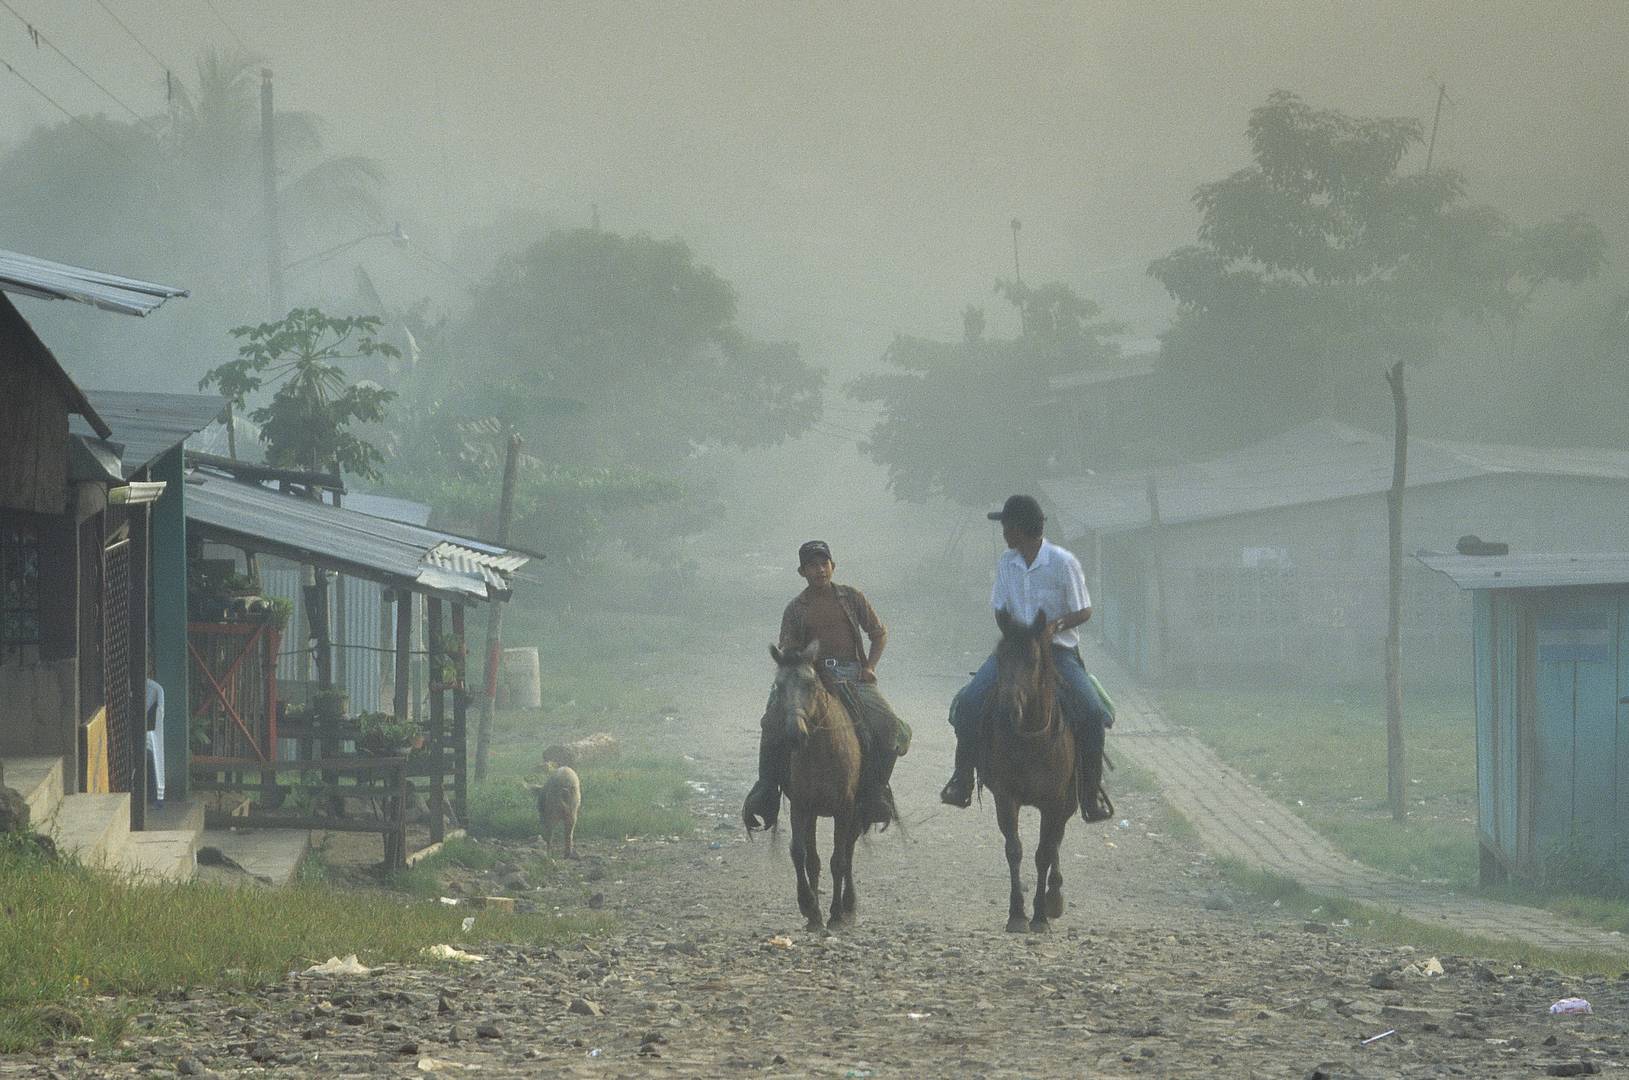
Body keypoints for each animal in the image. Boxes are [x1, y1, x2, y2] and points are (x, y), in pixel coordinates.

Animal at [772, 641, 873, 931]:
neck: (822, 751)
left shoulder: (845, 809)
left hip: (856, 813)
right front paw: (809, 908)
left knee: (848, 851)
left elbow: (839, 859)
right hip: (814, 814)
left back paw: (848, 906)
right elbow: (800, 853)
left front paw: (836, 913)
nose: (795, 733)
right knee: (814, 858)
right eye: (778, 686)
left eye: (810, 684)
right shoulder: (802, 806)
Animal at [977, 609, 1081, 931]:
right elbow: (1015, 850)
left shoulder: (1054, 801)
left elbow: (1044, 853)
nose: (1008, 708)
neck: (1030, 738)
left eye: (1033, 660)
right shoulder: (1006, 797)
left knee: (1057, 838)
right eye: (1000, 657)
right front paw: (1016, 915)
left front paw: (1040, 917)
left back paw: (1054, 897)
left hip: (1069, 800)